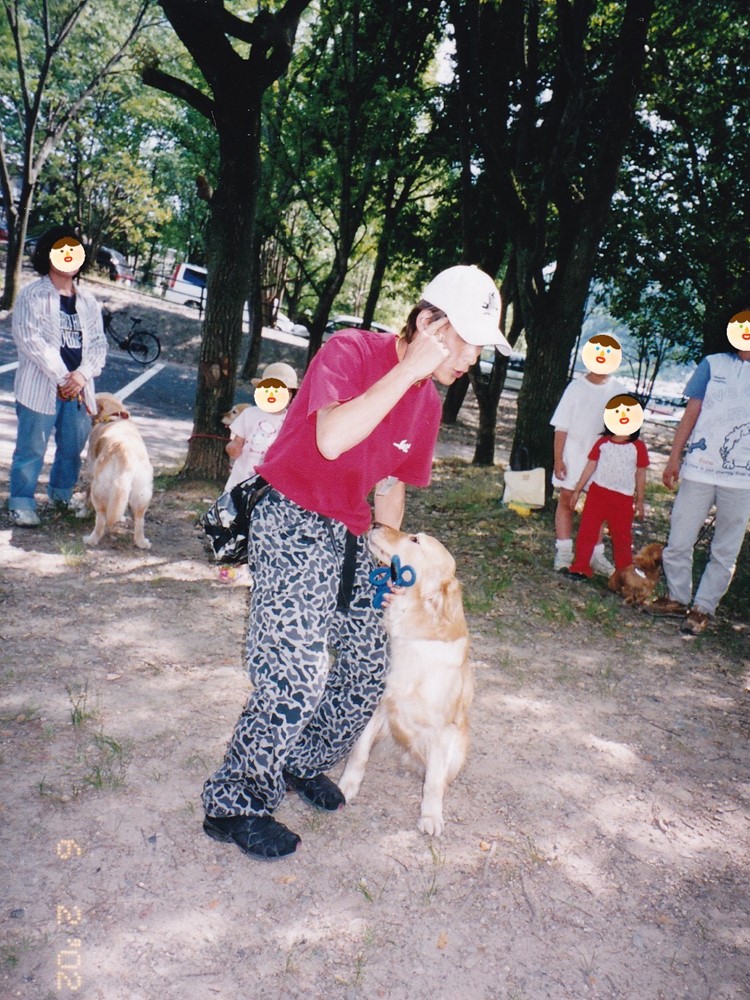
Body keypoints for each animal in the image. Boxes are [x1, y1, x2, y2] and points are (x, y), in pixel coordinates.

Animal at [83, 393, 153, 550]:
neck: (115, 416)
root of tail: (124, 453)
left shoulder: (90, 467)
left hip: (98, 488)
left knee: (101, 518)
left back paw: (91, 539)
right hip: (141, 493)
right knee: (139, 520)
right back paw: (141, 542)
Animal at [338, 525, 473, 837]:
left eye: (415, 540)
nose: (375, 524)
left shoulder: (441, 732)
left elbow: (433, 782)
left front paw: (431, 816)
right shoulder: (376, 707)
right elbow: (359, 753)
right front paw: (346, 788)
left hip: (457, 747)